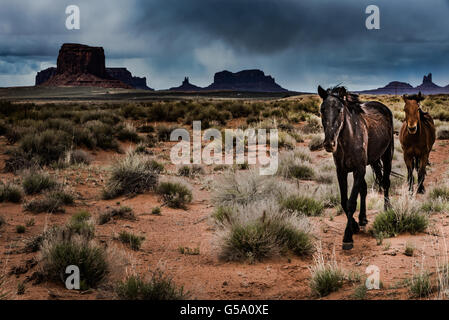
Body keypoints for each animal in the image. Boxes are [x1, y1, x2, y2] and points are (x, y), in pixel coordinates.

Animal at [316, 86, 394, 251]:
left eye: (339, 109)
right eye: (322, 109)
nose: (329, 143)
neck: (348, 139)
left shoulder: (359, 169)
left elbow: (351, 202)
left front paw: (347, 237)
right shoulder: (342, 171)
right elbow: (344, 201)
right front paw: (354, 226)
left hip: (386, 155)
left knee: (385, 183)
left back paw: (387, 209)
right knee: (364, 190)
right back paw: (362, 218)